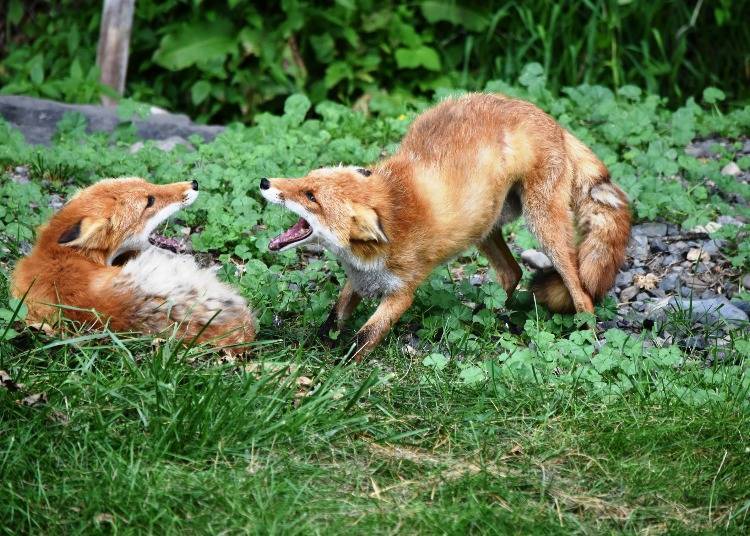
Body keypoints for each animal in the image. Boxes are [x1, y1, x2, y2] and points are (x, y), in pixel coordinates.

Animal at [262, 93, 632, 360]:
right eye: (306, 180)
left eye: (311, 196)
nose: (264, 182)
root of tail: (550, 118)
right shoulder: (359, 278)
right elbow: (333, 318)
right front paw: (314, 348)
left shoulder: (401, 293)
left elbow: (364, 336)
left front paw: (336, 373)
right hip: (482, 227)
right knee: (511, 273)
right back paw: (488, 315)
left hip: (543, 227)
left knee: (579, 289)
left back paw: (584, 334)